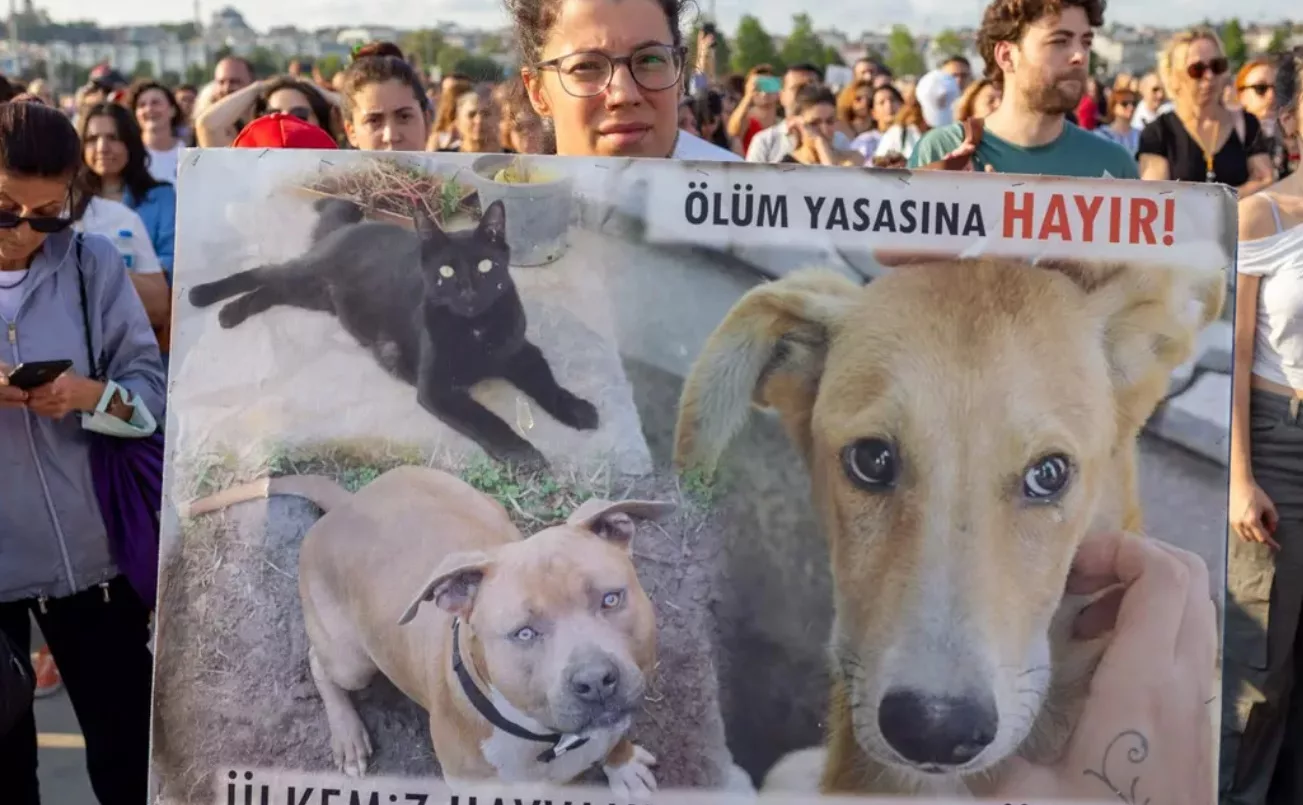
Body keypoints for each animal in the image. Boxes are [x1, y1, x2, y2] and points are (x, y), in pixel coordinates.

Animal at [177, 463, 672, 797]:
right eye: (524, 633)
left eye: (611, 599)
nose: (596, 681)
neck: (549, 739)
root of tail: (346, 504)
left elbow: (616, 737)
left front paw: (622, 763)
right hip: (351, 659)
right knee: (320, 663)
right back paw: (347, 734)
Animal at [187, 197, 599, 466]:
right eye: (446, 271)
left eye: (485, 265)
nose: (468, 291)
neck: (476, 328)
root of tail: (351, 228)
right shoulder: (437, 389)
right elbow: (487, 419)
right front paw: (522, 453)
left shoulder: (521, 352)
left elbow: (547, 383)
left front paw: (577, 408)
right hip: (306, 274)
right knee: (260, 273)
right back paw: (207, 298)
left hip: (313, 295)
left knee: (270, 290)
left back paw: (231, 311)